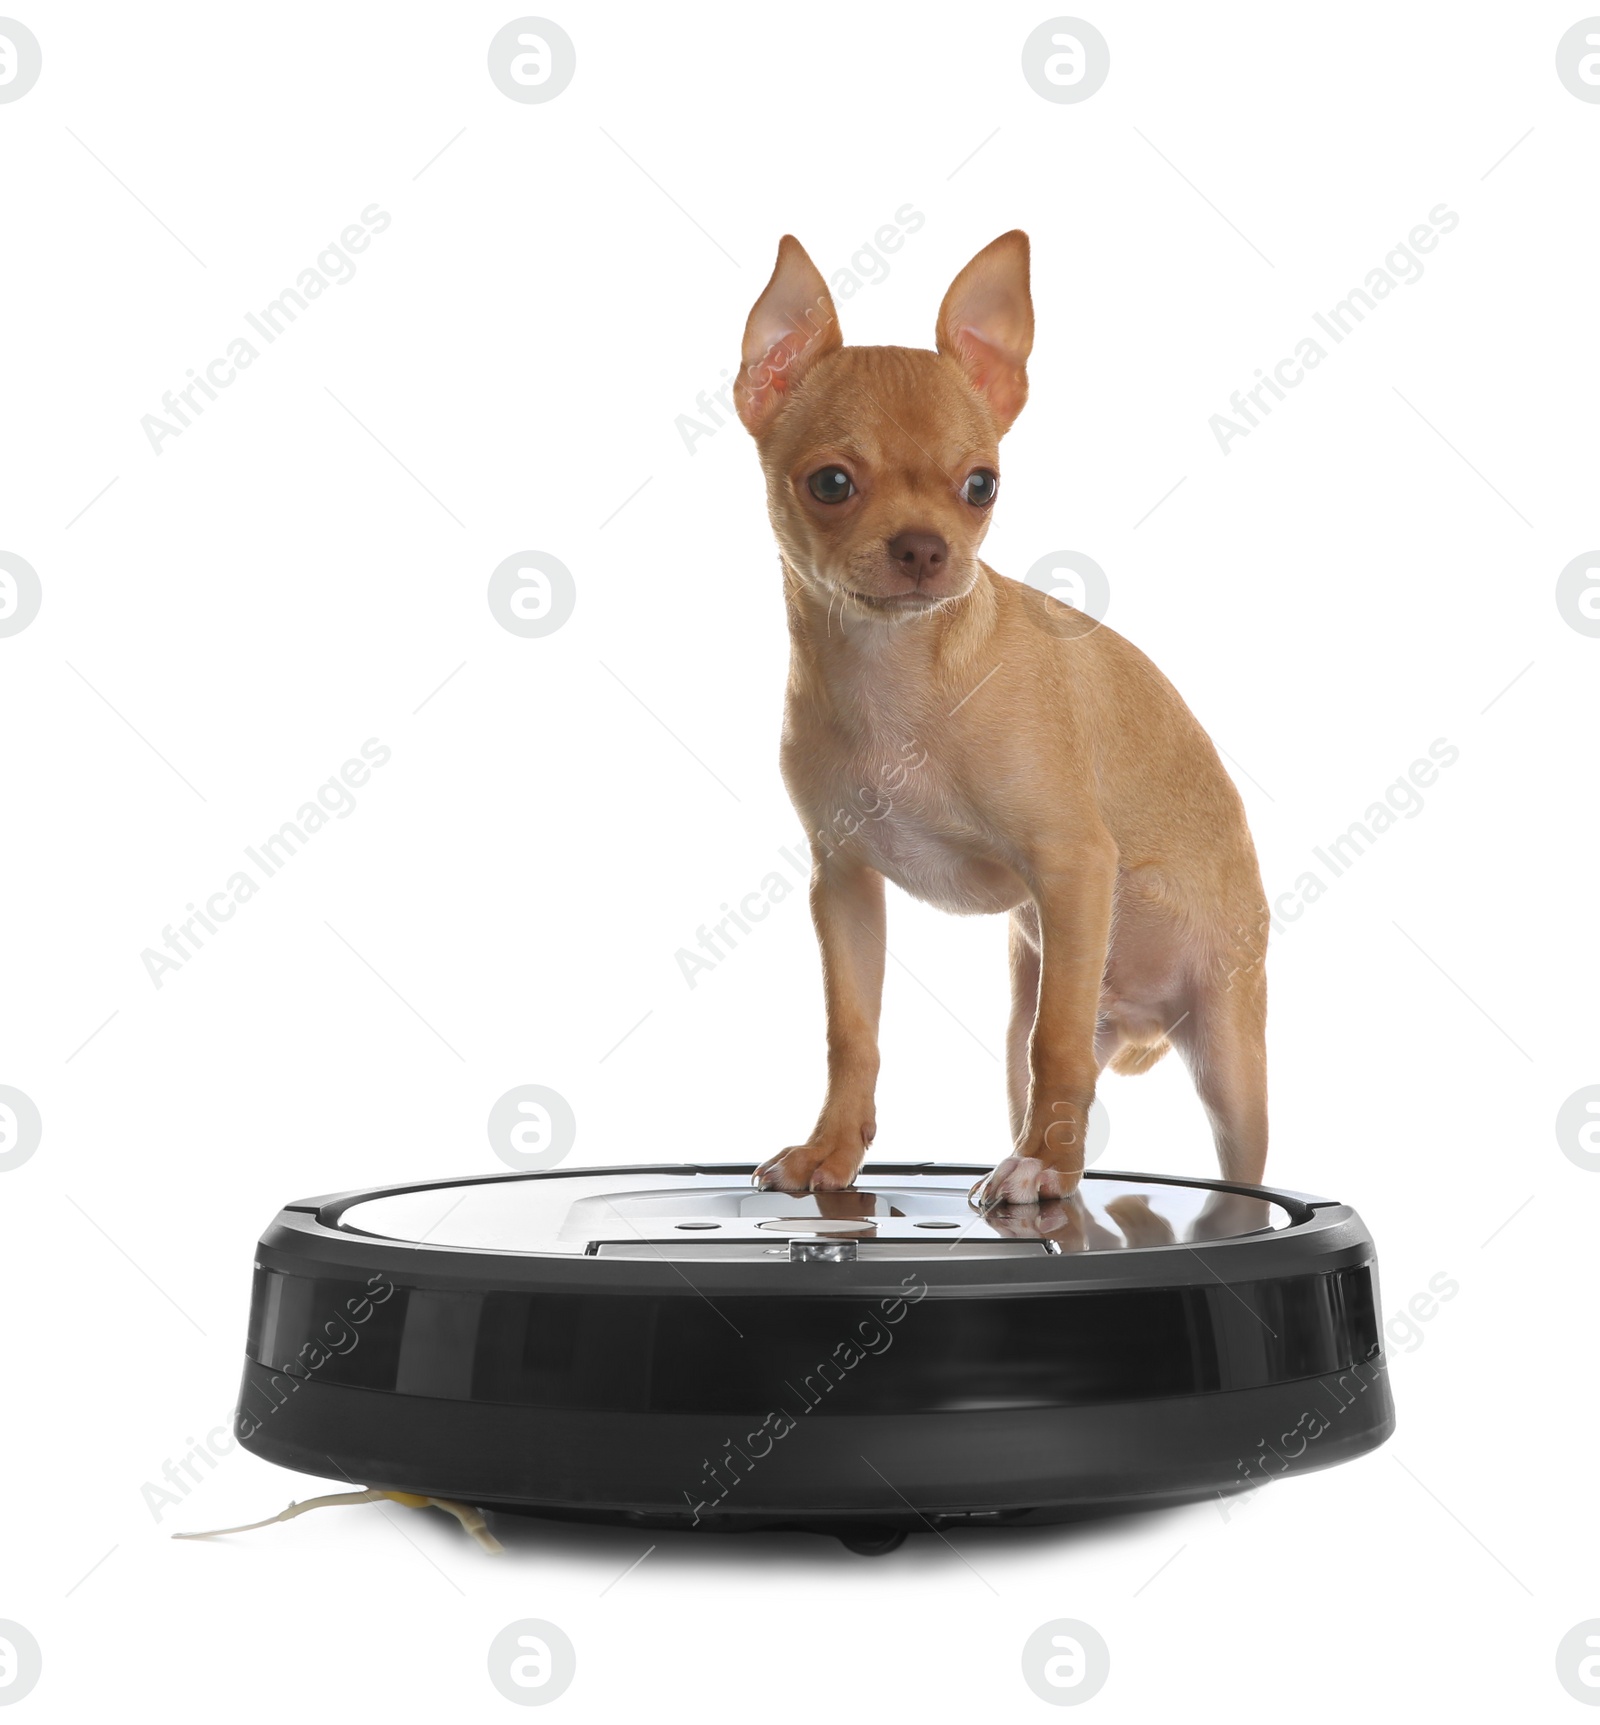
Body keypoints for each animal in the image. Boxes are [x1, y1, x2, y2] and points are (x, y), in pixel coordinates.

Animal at [731, 232, 1268, 1214]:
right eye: (832, 482)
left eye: (981, 485)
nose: (922, 547)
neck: (895, 673)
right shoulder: (845, 884)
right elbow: (851, 1033)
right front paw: (832, 1149)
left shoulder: (1075, 865)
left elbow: (1057, 1041)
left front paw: (1045, 1174)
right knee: (1043, 1065)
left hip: (1227, 1053)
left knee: (1214, 1141)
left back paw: (1055, 1165)